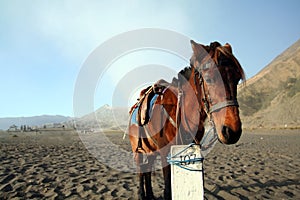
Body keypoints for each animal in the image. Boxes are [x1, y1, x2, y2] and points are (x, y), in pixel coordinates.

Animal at [127, 39, 245, 199]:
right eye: (209, 79)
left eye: (237, 78)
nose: (232, 131)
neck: (181, 110)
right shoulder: (165, 152)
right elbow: (168, 189)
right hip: (138, 150)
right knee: (141, 171)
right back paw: (141, 195)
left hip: (150, 149)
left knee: (148, 170)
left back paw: (150, 195)